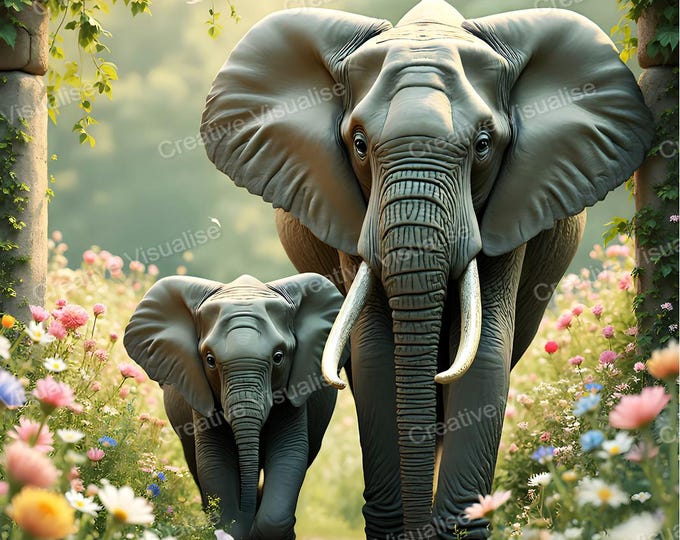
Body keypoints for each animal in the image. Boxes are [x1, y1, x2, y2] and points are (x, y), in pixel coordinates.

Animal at [123, 272, 345, 539]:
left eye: (278, 357)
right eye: (209, 360)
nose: (246, 511)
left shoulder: (295, 388)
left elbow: (290, 451)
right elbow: (213, 458)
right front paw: (232, 527)